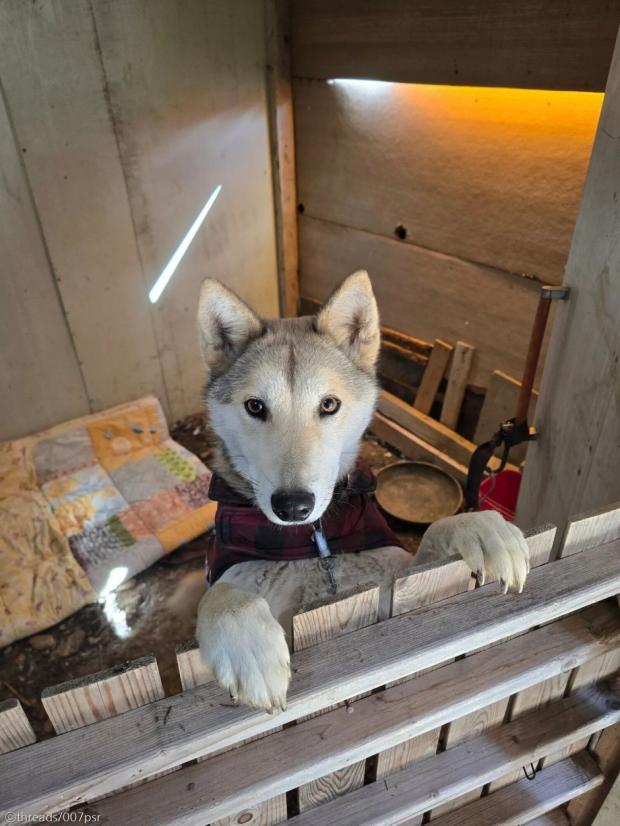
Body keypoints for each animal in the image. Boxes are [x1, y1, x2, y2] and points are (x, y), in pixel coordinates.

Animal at [196, 270, 532, 708]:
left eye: (328, 405)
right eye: (255, 407)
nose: (293, 506)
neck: (312, 545)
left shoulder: (395, 589)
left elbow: (438, 531)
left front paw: (483, 530)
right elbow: (219, 598)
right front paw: (248, 645)